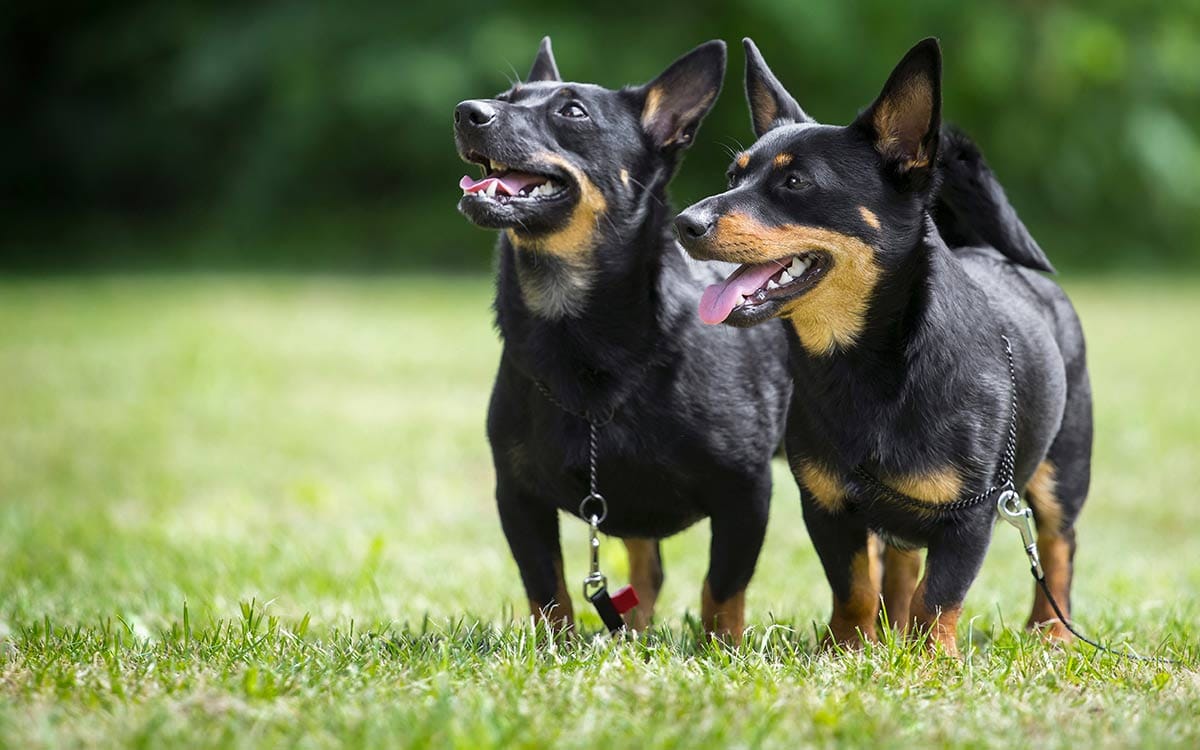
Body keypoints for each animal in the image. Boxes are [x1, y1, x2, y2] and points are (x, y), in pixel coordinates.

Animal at [676, 38, 1089, 652]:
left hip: (1062, 470)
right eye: (733, 175)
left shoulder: (971, 517)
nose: (685, 222)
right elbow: (854, 587)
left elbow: (938, 599)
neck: (863, 365)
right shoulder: (828, 508)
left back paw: (1050, 630)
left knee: (1059, 546)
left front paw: (930, 660)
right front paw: (847, 649)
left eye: (795, 184)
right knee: (898, 565)